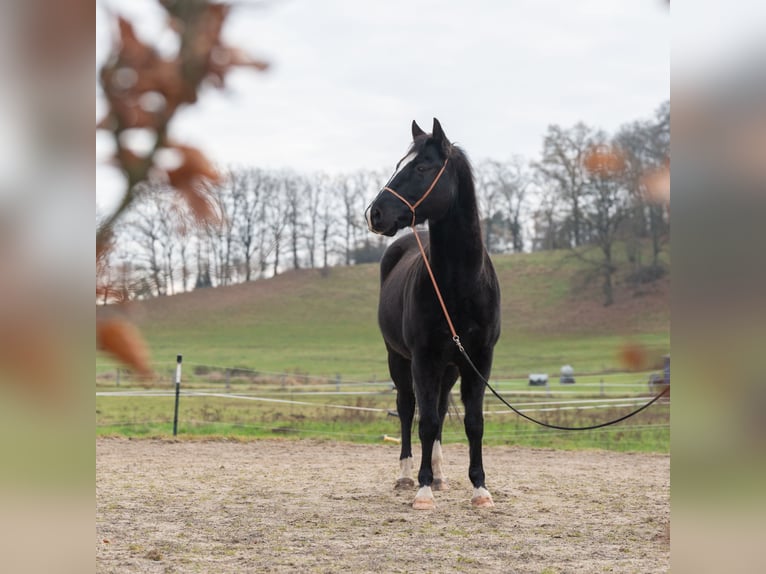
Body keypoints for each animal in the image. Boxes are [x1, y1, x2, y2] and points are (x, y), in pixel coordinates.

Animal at [365, 118, 501, 509]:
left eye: (422, 167)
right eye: (400, 164)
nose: (375, 213)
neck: (460, 284)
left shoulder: (478, 359)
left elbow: (472, 422)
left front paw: (480, 488)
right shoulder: (423, 358)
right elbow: (423, 422)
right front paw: (423, 490)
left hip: (450, 368)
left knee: (439, 410)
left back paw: (440, 476)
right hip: (399, 360)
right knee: (408, 409)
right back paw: (408, 475)